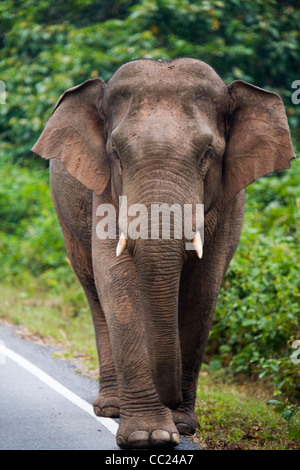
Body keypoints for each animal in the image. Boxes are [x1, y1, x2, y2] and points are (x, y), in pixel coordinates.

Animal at [31, 57, 296, 448]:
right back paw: (110, 408)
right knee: (94, 293)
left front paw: (181, 427)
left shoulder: (227, 203)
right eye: (116, 154)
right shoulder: (104, 192)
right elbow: (118, 286)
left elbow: (202, 289)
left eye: (207, 154)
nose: (172, 403)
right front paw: (149, 435)